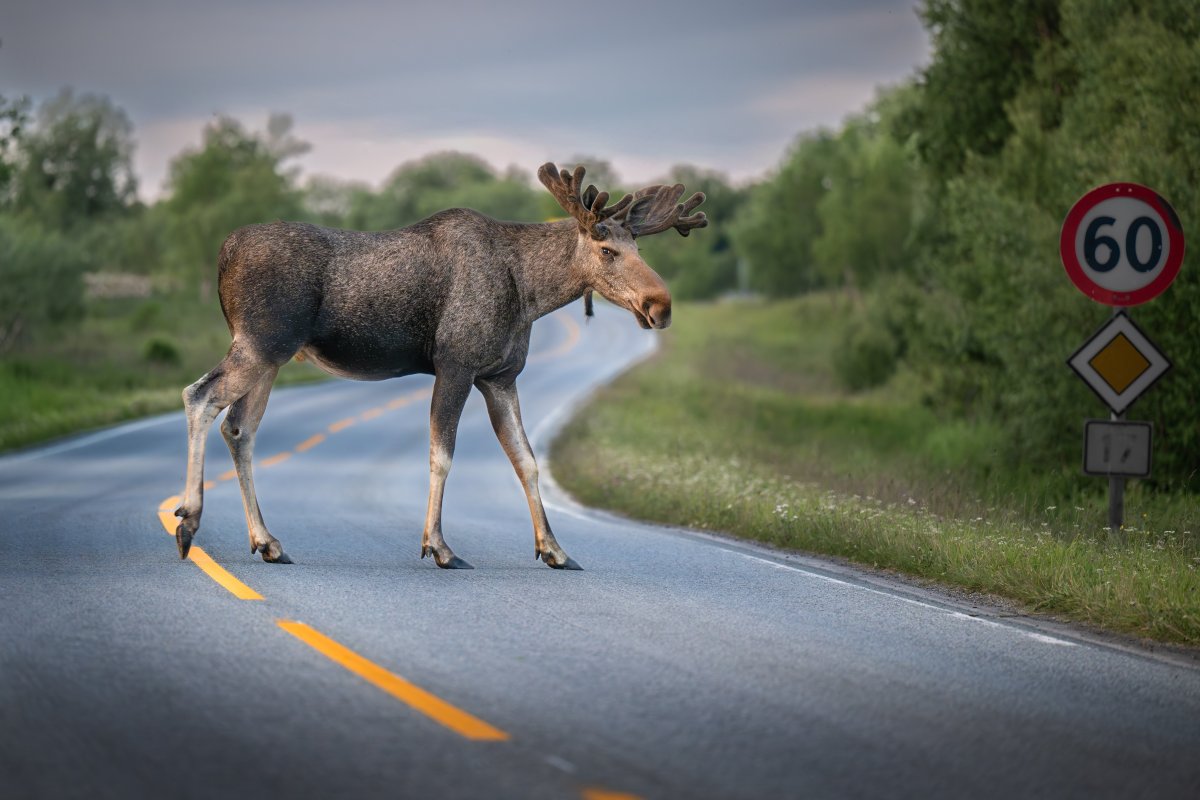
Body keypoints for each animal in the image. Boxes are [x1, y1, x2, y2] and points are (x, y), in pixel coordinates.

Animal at [173, 162, 706, 570]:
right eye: (607, 250)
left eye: (639, 248)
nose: (660, 305)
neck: (530, 294)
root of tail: (223, 255)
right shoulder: (456, 364)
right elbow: (442, 454)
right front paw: (440, 547)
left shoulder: (500, 377)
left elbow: (526, 460)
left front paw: (553, 549)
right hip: (261, 344)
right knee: (198, 395)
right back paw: (189, 521)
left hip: (273, 357)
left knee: (239, 428)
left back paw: (266, 541)